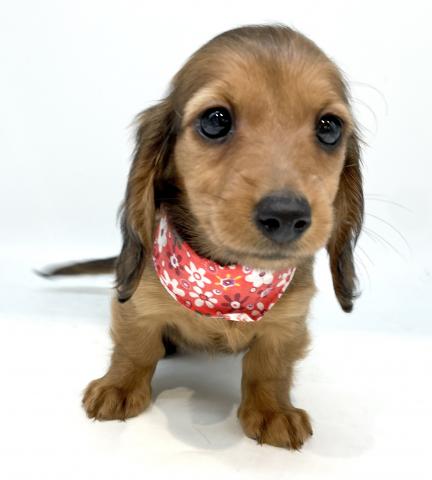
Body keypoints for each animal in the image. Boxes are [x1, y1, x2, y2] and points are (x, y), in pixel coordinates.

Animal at [43, 25, 363, 449]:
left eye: (329, 128)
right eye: (215, 121)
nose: (286, 215)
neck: (227, 280)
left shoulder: (290, 321)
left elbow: (270, 365)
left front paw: (273, 410)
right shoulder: (138, 298)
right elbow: (135, 346)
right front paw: (119, 386)